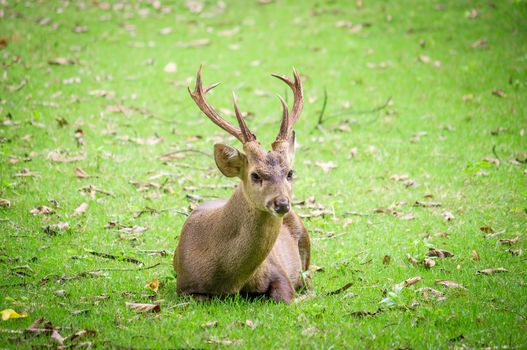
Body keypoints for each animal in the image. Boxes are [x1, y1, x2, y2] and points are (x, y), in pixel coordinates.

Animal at [173, 66, 312, 304]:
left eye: (290, 173)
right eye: (255, 175)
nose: (282, 203)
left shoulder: (279, 272)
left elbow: (285, 296)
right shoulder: (184, 286)